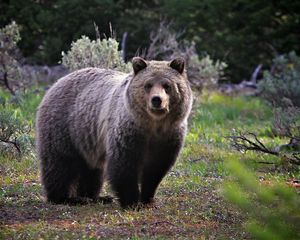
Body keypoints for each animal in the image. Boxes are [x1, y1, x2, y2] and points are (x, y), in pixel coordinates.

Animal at [36, 56, 193, 208]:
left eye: (167, 85)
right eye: (148, 85)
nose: (157, 100)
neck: (153, 125)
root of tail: (57, 83)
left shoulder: (169, 136)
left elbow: (156, 169)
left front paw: (148, 199)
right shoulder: (129, 130)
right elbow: (124, 164)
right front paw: (131, 202)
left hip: (87, 140)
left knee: (92, 170)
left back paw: (95, 197)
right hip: (65, 128)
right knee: (60, 164)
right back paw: (66, 198)